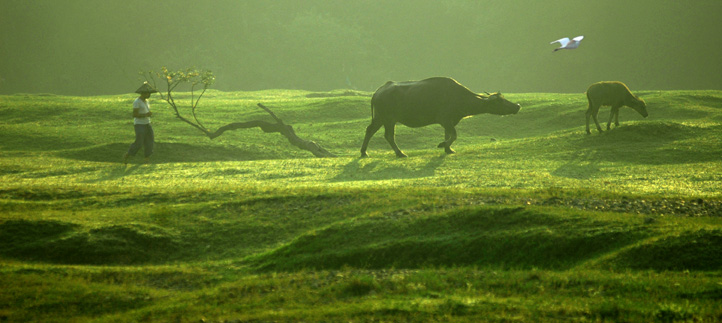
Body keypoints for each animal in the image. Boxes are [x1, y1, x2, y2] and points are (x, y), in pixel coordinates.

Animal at [358, 77, 516, 158]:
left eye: (504, 99)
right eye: (500, 101)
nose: (517, 105)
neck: (459, 98)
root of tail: (378, 92)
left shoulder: (450, 122)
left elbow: (449, 135)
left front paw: (448, 149)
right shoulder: (444, 119)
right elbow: (454, 135)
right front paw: (442, 145)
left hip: (380, 118)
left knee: (370, 130)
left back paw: (364, 152)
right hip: (388, 119)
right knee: (389, 135)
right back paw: (400, 153)